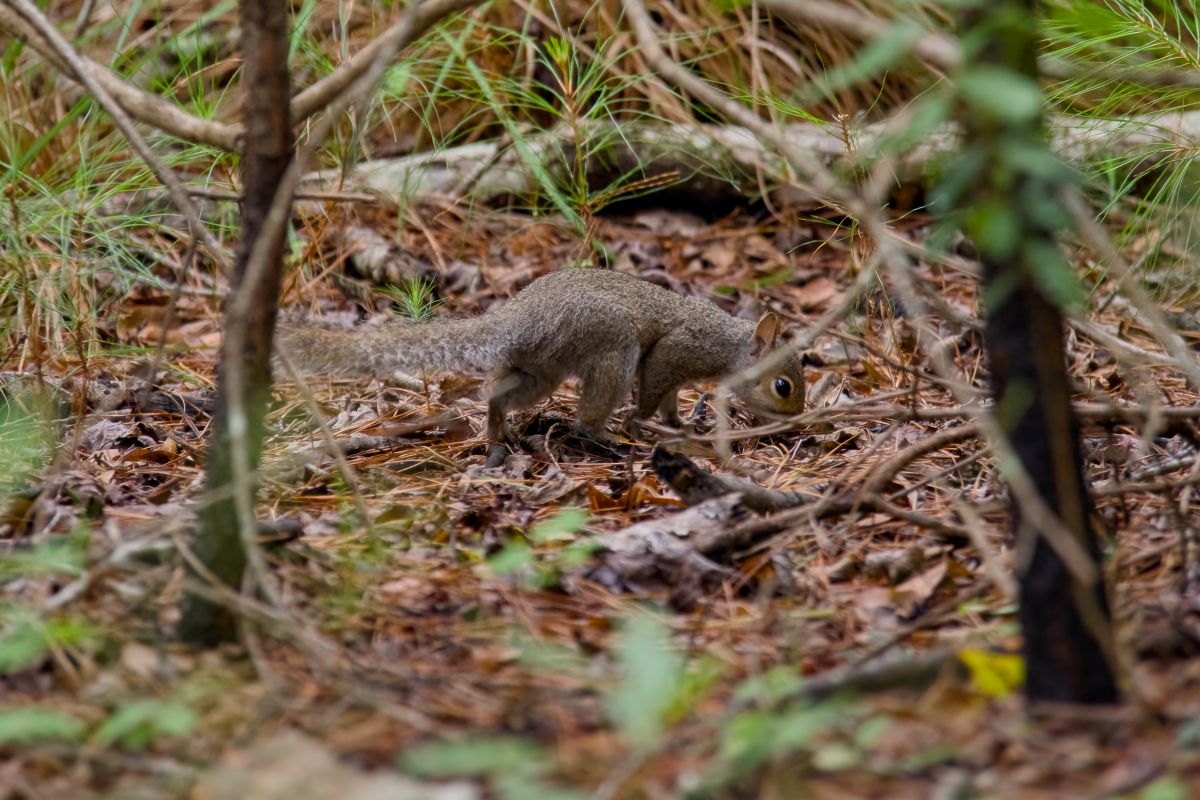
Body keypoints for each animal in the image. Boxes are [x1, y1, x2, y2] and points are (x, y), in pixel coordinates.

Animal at [277, 268, 806, 443]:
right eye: (783, 386)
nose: (797, 420)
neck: (730, 344)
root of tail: (518, 318)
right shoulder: (676, 353)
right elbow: (653, 388)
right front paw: (650, 423)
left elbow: (671, 399)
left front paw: (678, 423)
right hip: (611, 346)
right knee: (587, 416)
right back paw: (607, 436)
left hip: (539, 370)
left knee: (496, 394)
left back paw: (497, 433)